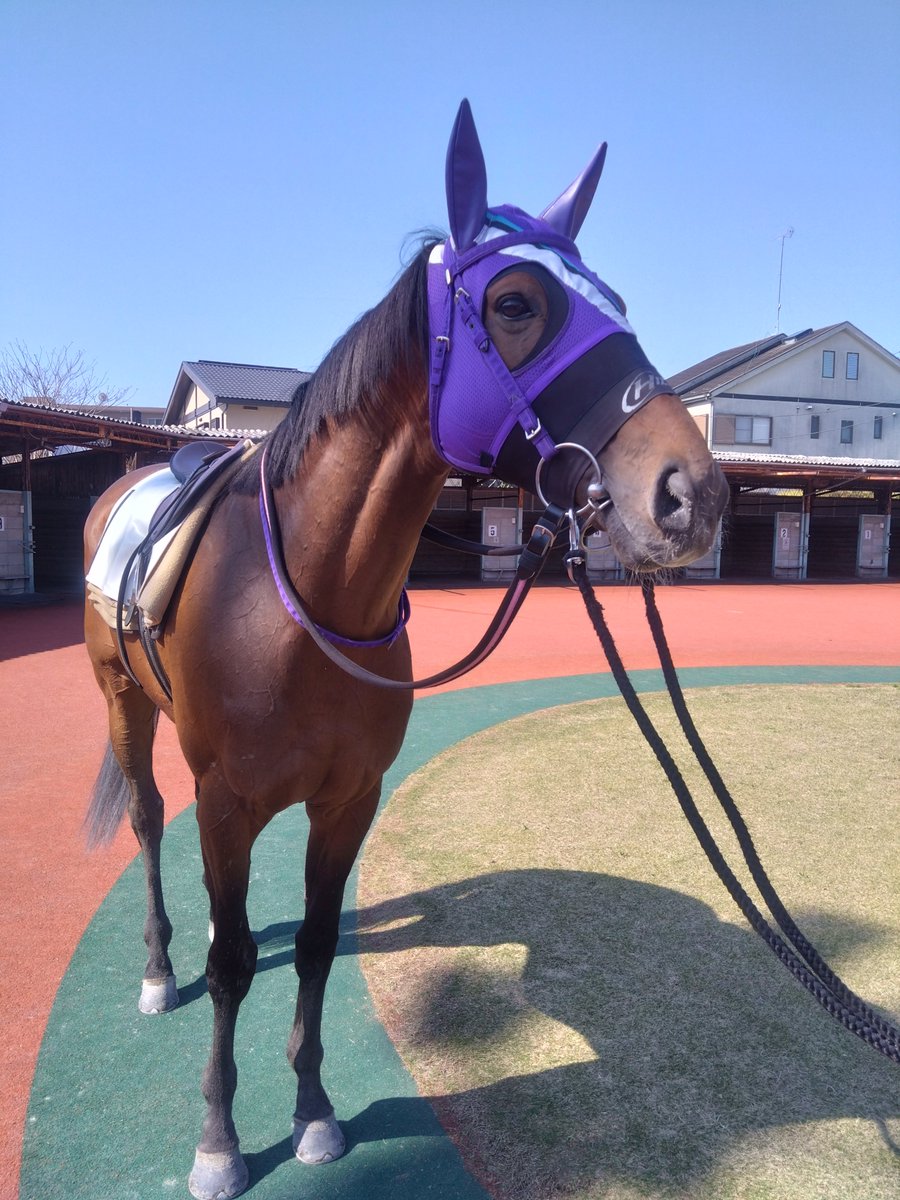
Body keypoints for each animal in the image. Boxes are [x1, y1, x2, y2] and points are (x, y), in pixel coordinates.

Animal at [83, 100, 728, 1199]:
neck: (301, 604)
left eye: (619, 302)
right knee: (152, 825)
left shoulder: (349, 797)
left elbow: (309, 948)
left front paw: (312, 1112)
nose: (691, 492)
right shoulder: (230, 799)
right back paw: (162, 964)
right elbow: (234, 970)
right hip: (126, 705)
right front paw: (219, 1137)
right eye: (515, 302)